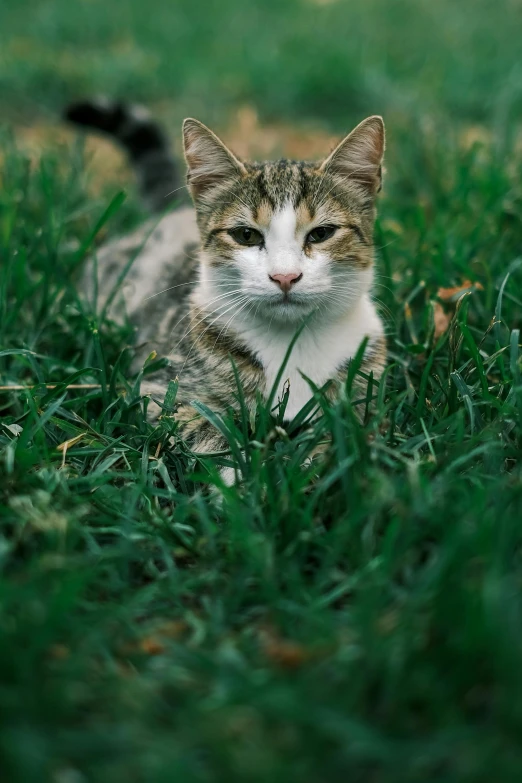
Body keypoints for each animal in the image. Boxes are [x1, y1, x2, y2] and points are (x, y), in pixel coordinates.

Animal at [66, 103, 386, 472]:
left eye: (321, 233)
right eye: (245, 235)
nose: (285, 276)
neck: (292, 341)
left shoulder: (365, 388)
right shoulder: (157, 391)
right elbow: (205, 428)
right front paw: (243, 471)